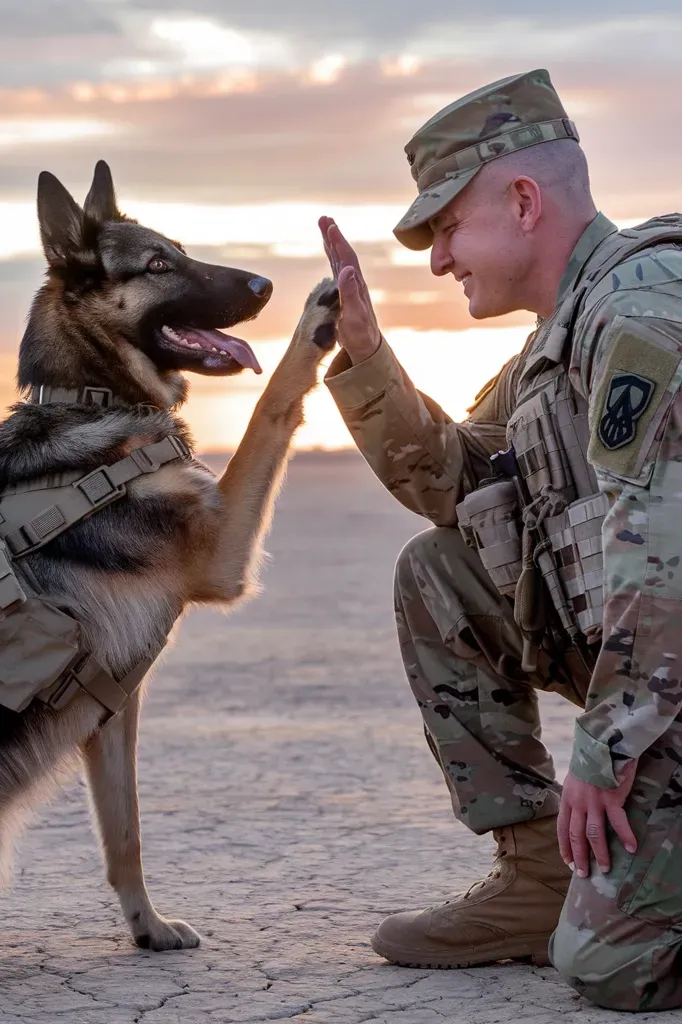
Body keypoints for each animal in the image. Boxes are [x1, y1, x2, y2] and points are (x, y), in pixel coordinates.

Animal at [0, 161, 337, 950]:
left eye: (180, 250)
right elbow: (272, 403)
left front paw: (146, 924)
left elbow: (125, 832)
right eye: (157, 266)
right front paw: (315, 318)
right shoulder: (220, 548)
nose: (264, 286)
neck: (93, 396)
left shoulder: (112, 708)